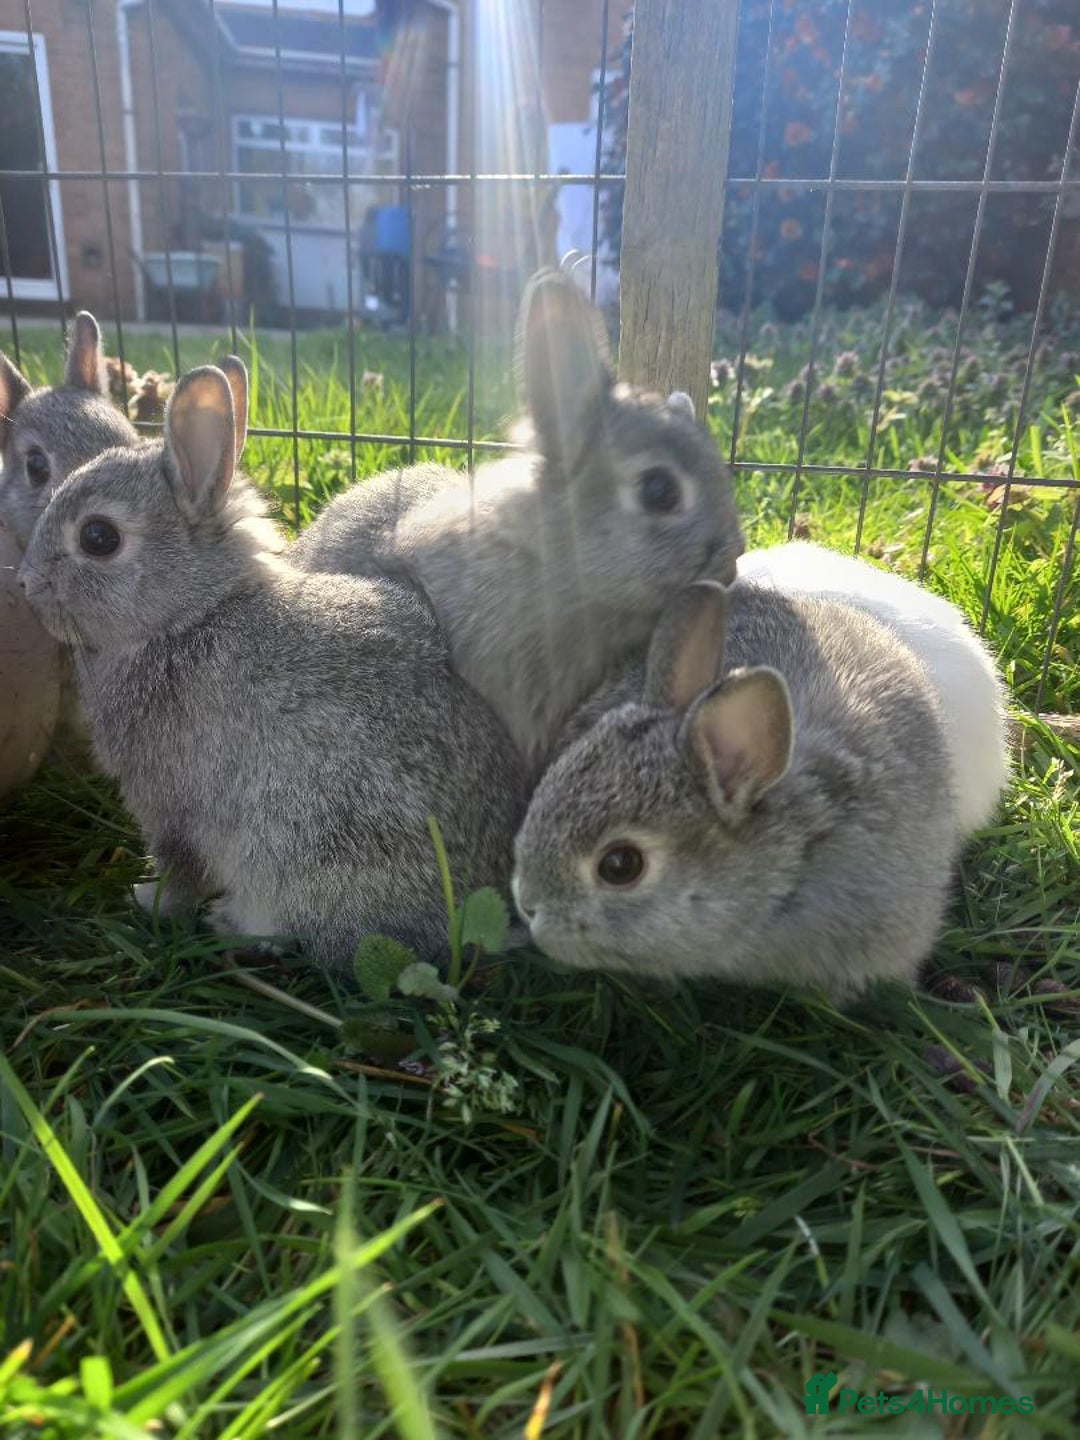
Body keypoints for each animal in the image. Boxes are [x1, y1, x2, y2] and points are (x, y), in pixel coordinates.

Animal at [18, 360, 525, 969]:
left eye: (98, 537)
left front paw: (147, 899)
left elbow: (179, 865)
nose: (25, 583)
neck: (187, 618)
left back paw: (231, 924)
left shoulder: (169, 803)